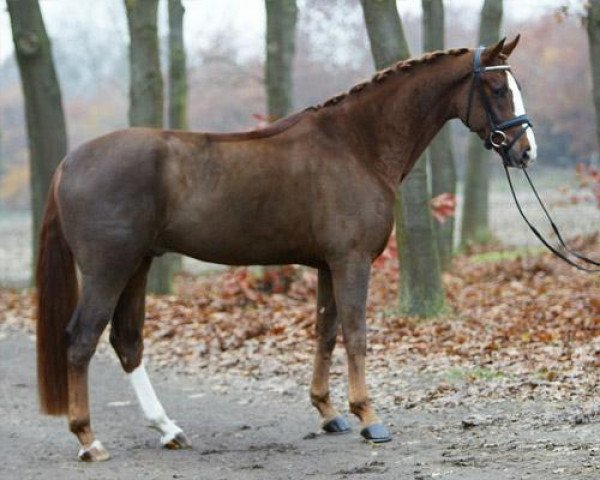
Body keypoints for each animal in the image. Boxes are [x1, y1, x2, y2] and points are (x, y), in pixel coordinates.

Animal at [36, 35, 536, 460]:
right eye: (496, 87)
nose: (525, 151)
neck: (356, 144)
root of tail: (68, 163)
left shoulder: (327, 265)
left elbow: (326, 332)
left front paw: (329, 413)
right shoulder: (352, 261)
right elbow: (356, 334)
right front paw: (369, 418)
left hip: (137, 264)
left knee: (127, 341)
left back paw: (168, 429)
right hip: (108, 269)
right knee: (82, 339)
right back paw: (89, 440)